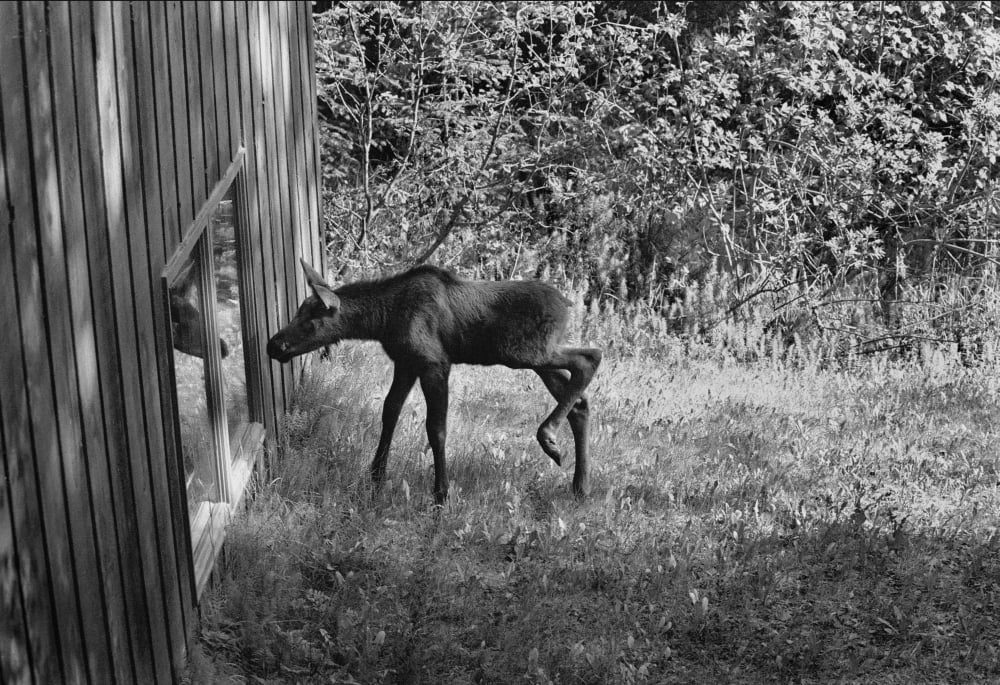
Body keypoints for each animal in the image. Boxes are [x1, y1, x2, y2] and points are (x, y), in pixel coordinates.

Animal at [267, 259, 602, 504]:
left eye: (311, 323)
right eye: (298, 311)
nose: (274, 345)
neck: (383, 322)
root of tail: (567, 304)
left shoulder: (434, 363)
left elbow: (436, 428)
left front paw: (441, 494)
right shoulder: (406, 363)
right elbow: (389, 412)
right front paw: (375, 478)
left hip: (528, 352)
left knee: (590, 356)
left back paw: (549, 438)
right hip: (535, 358)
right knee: (579, 401)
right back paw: (580, 485)